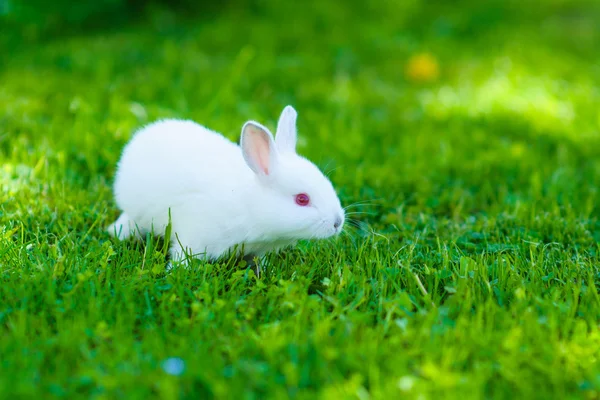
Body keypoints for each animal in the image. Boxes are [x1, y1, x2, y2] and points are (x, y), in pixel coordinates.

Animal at [105, 106, 344, 266]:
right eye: (302, 199)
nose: (337, 223)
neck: (249, 205)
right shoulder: (194, 237)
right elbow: (183, 257)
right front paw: (175, 272)